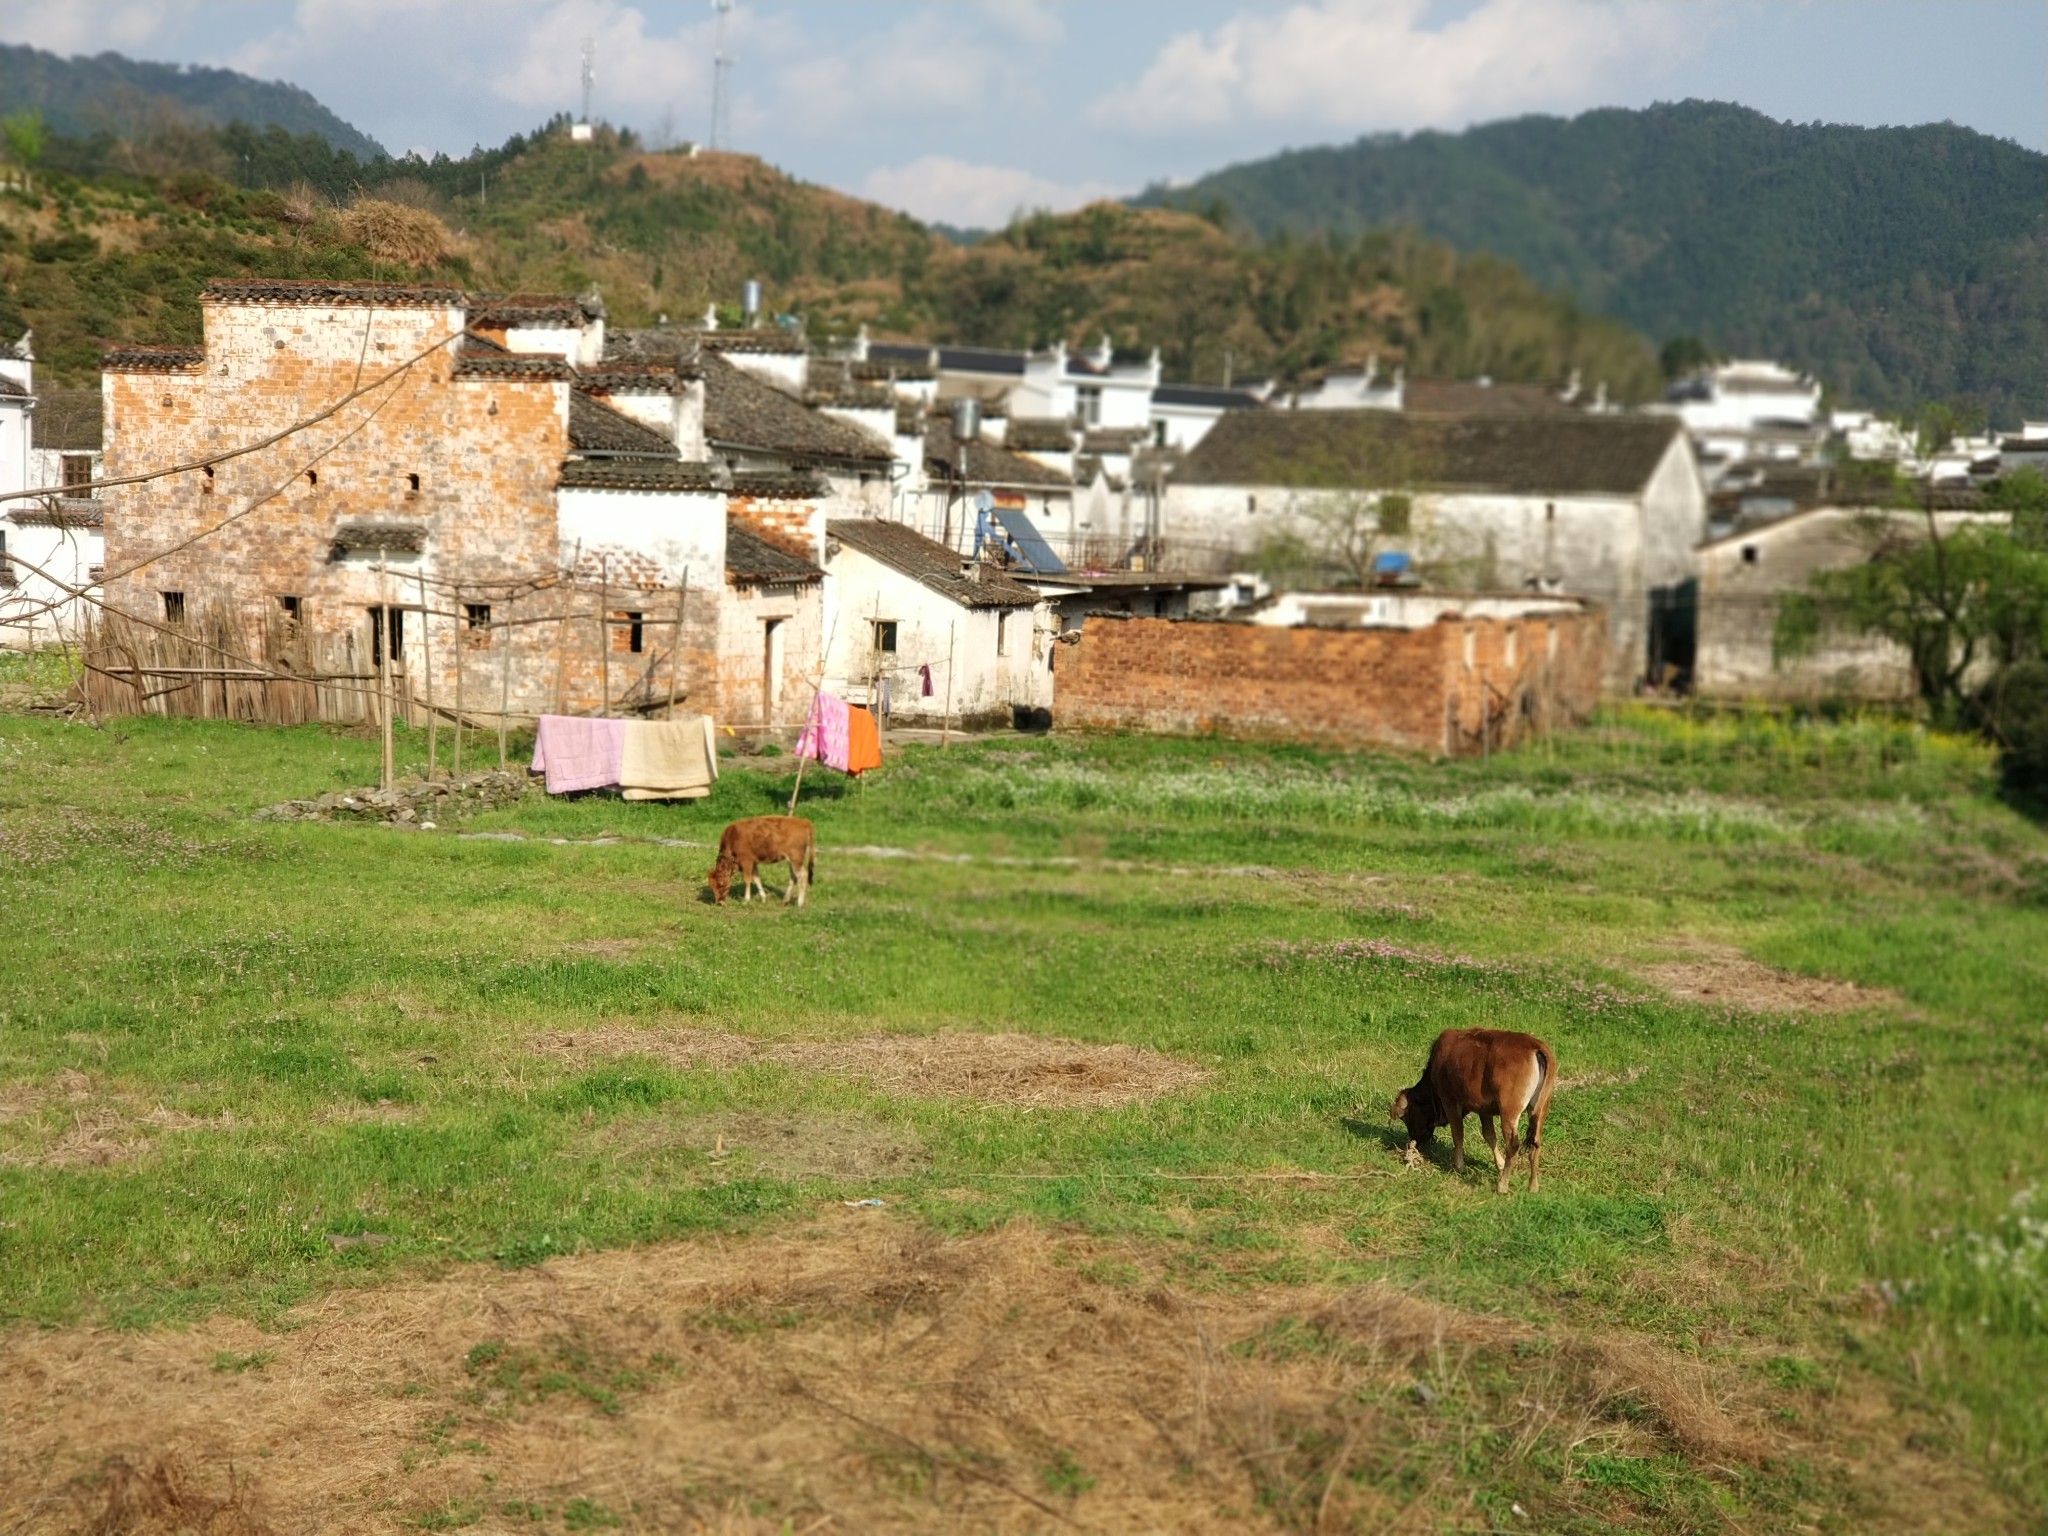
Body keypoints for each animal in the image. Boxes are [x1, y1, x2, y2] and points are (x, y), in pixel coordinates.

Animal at [1392, 1036, 1548, 1204]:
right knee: (1536, 1143)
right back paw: (1533, 1186)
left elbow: (1458, 1134)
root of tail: (1535, 1047)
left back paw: (1502, 1186)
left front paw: (1460, 1166)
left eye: (1405, 1117)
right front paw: (1499, 1164)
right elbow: (1489, 1135)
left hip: (1509, 1111)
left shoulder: (1450, 1100)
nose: (1413, 1141)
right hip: (1540, 1109)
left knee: (1513, 1146)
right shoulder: (1484, 1109)